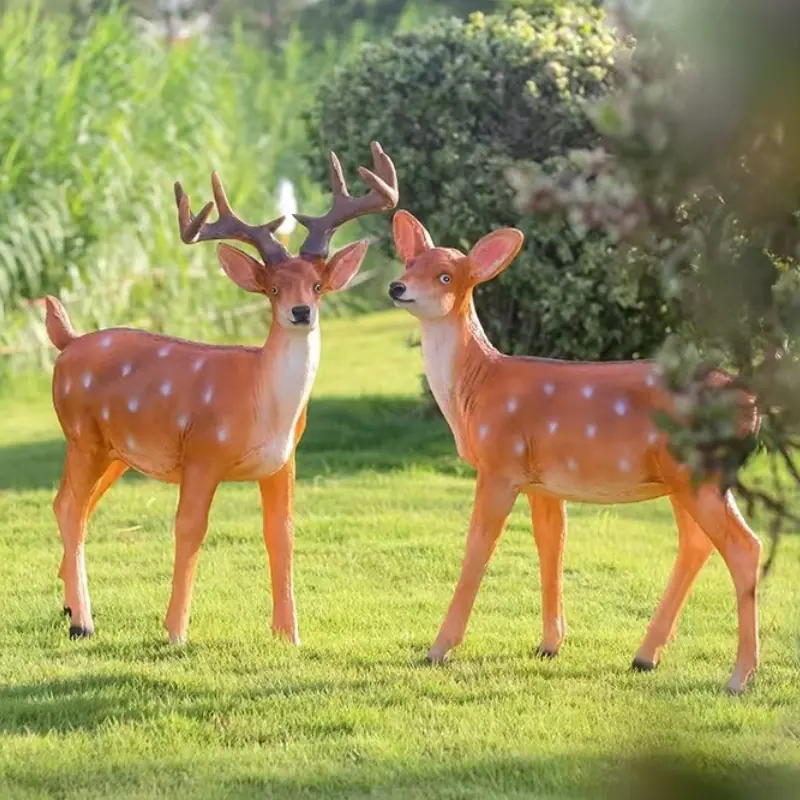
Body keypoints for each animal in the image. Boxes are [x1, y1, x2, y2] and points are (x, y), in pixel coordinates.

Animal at [44, 142, 398, 646]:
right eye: (273, 288)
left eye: (317, 285)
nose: (301, 311)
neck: (261, 404)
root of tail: (68, 342)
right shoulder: (202, 451)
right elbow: (189, 529)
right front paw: (175, 632)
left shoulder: (284, 460)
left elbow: (282, 533)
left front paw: (289, 635)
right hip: (81, 433)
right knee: (70, 507)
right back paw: (83, 623)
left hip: (115, 452)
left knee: (77, 507)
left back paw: (69, 605)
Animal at [388, 210, 762, 695]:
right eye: (410, 262)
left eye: (446, 276)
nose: (397, 287)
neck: (477, 389)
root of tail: (754, 407)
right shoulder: (542, 481)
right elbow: (552, 543)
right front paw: (549, 644)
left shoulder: (500, 463)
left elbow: (478, 545)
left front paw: (438, 649)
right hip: (682, 479)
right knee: (696, 543)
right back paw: (645, 657)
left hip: (697, 473)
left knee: (744, 547)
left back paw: (739, 676)